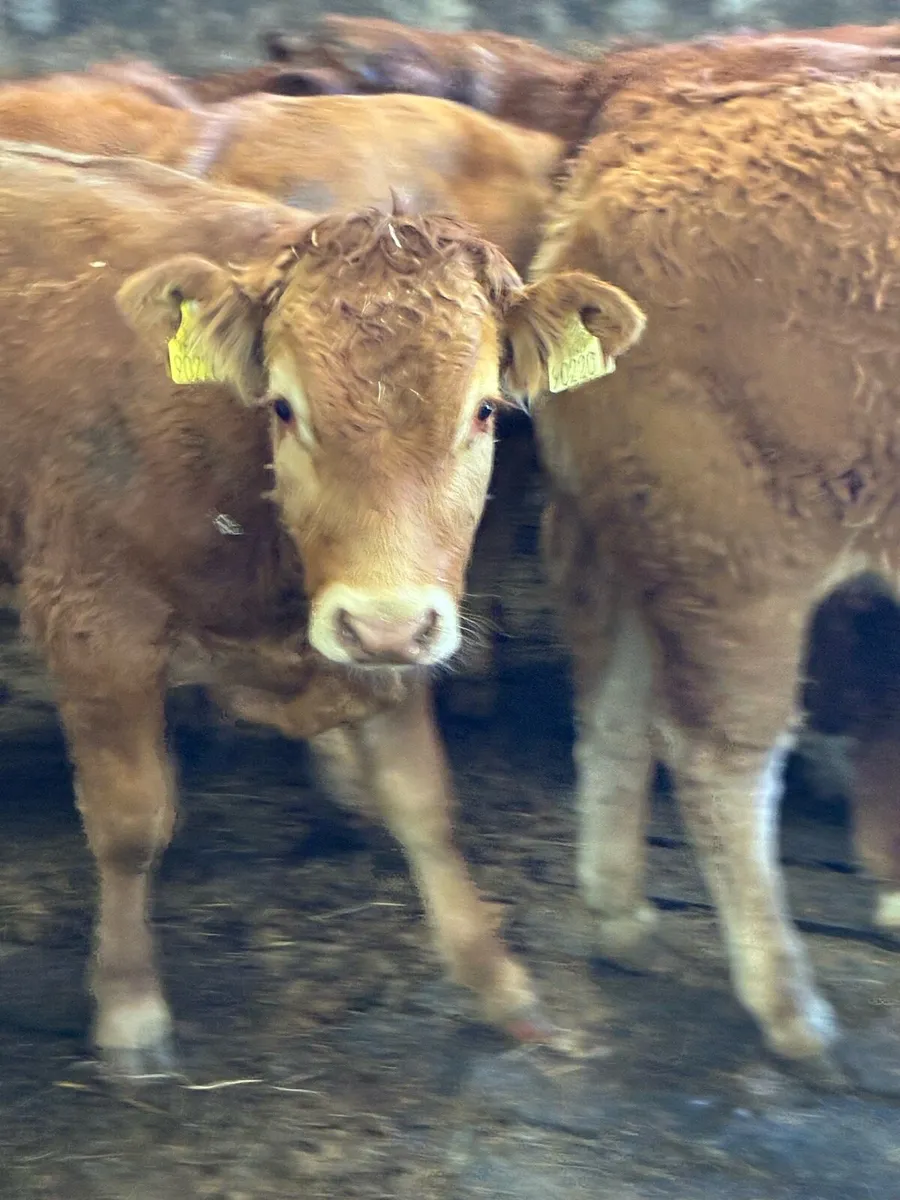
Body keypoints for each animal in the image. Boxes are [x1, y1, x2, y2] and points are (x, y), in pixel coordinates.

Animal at [0, 141, 644, 1076]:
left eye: (485, 410)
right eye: (283, 406)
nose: (383, 623)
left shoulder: (391, 629)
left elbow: (423, 801)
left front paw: (497, 980)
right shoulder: (94, 624)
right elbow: (129, 823)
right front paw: (128, 1009)